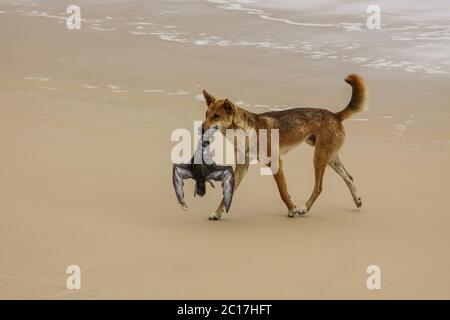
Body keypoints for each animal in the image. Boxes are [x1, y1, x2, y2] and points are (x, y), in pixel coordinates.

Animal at [200, 74, 366, 220]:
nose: (201, 128)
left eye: (216, 116)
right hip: (330, 158)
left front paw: (292, 209)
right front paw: (217, 213)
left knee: (319, 187)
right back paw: (357, 200)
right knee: (349, 177)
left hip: (319, 158)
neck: (244, 131)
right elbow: (228, 194)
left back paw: (304, 208)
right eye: (206, 114)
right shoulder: (242, 167)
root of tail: (335, 115)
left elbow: (282, 191)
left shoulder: (276, 163)